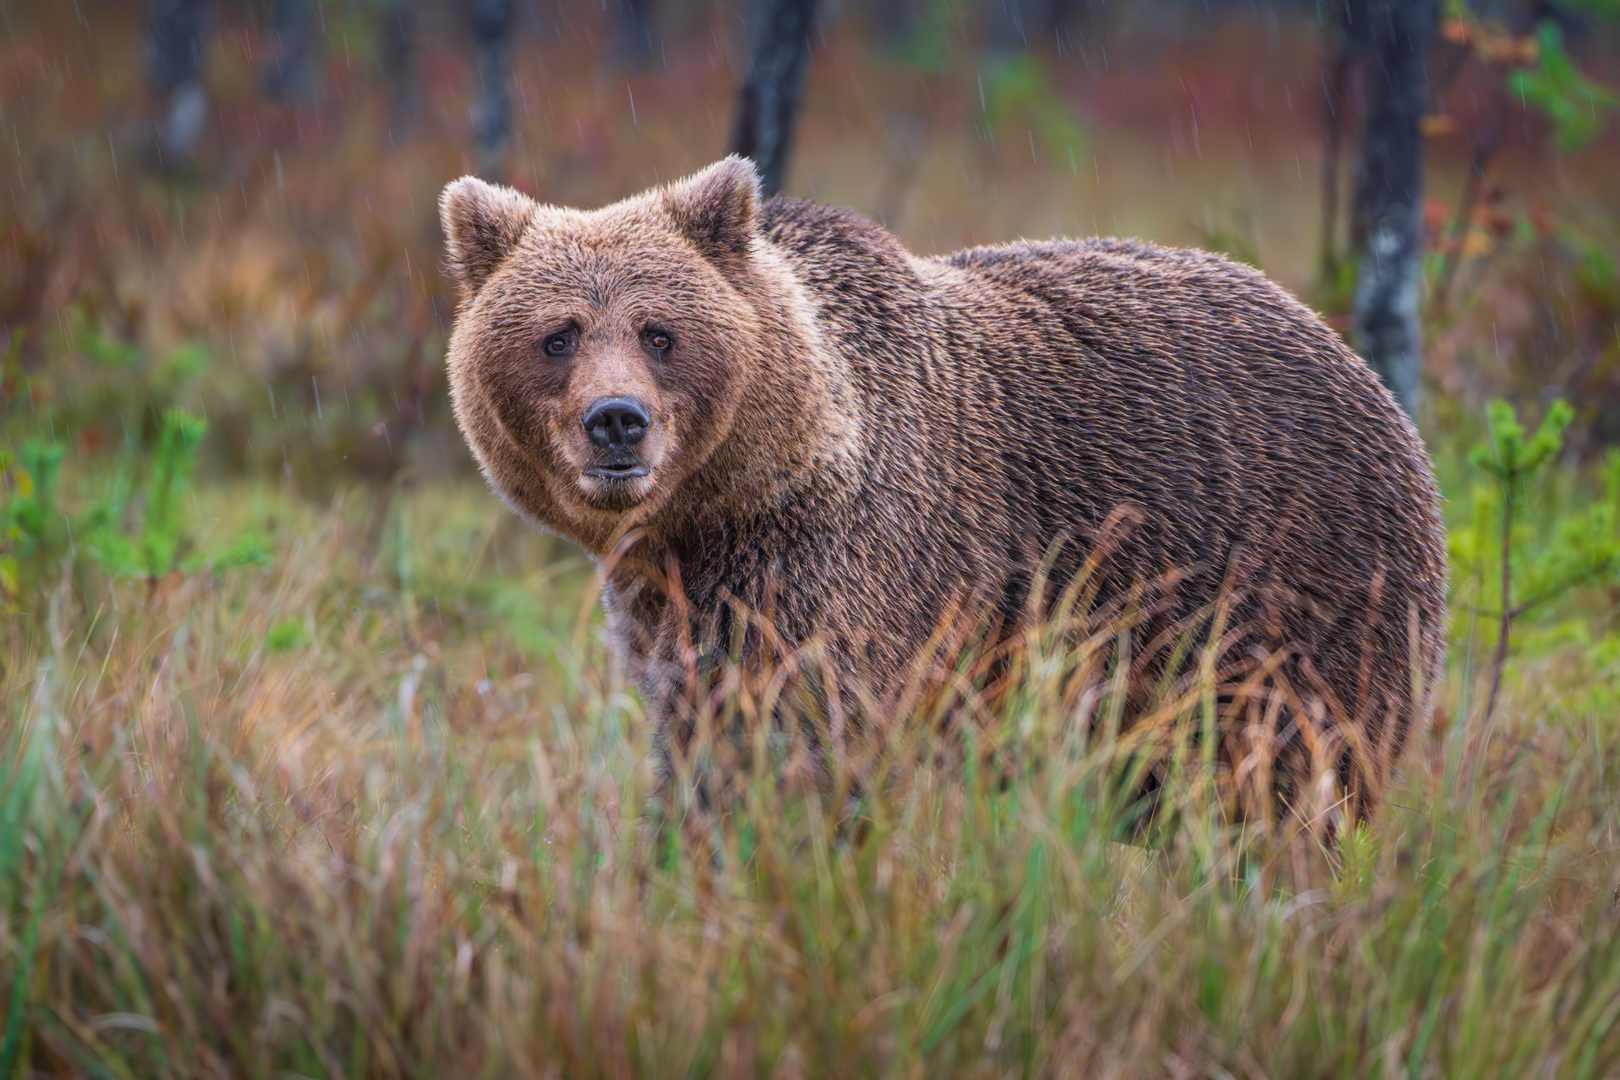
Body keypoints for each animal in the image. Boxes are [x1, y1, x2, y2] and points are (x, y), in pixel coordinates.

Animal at [440, 158, 1445, 819]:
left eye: (659, 331)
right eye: (558, 334)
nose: (617, 421)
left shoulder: (855, 561)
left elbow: (812, 731)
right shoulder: (671, 602)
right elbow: (699, 738)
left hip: (1293, 589)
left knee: (1290, 778)